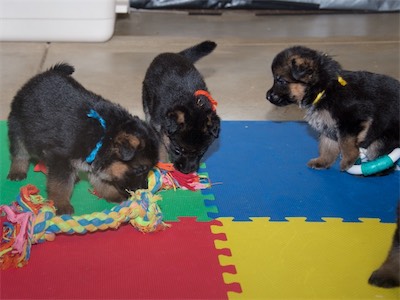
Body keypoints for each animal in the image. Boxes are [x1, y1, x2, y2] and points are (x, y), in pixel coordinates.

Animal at [7, 63, 158, 214]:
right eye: (140, 169)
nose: (143, 189)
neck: (104, 135)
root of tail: (43, 74)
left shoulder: (95, 162)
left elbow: (101, 182)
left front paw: (113, 194)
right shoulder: (61, 159)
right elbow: (60, 185)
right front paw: (61, 204)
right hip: (18, 127)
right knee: (20, 153)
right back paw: (17, 171)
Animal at [142, 41, 220, 175]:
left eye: (201, 152)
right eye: (178, 150)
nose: (186, 171)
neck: (191, 103)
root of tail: (175, 54)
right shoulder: (158, 125)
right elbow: (162, 147)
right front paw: (163, 164)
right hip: (146, 97)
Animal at [266, 44, 400, 171]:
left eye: (280, 80)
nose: (267, 96)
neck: (324, 90)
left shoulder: (353, 118)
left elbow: (346, 141)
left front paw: (348, 160)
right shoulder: (327, 124)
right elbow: (327, 146)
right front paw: (322, 161)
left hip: (380, 143)